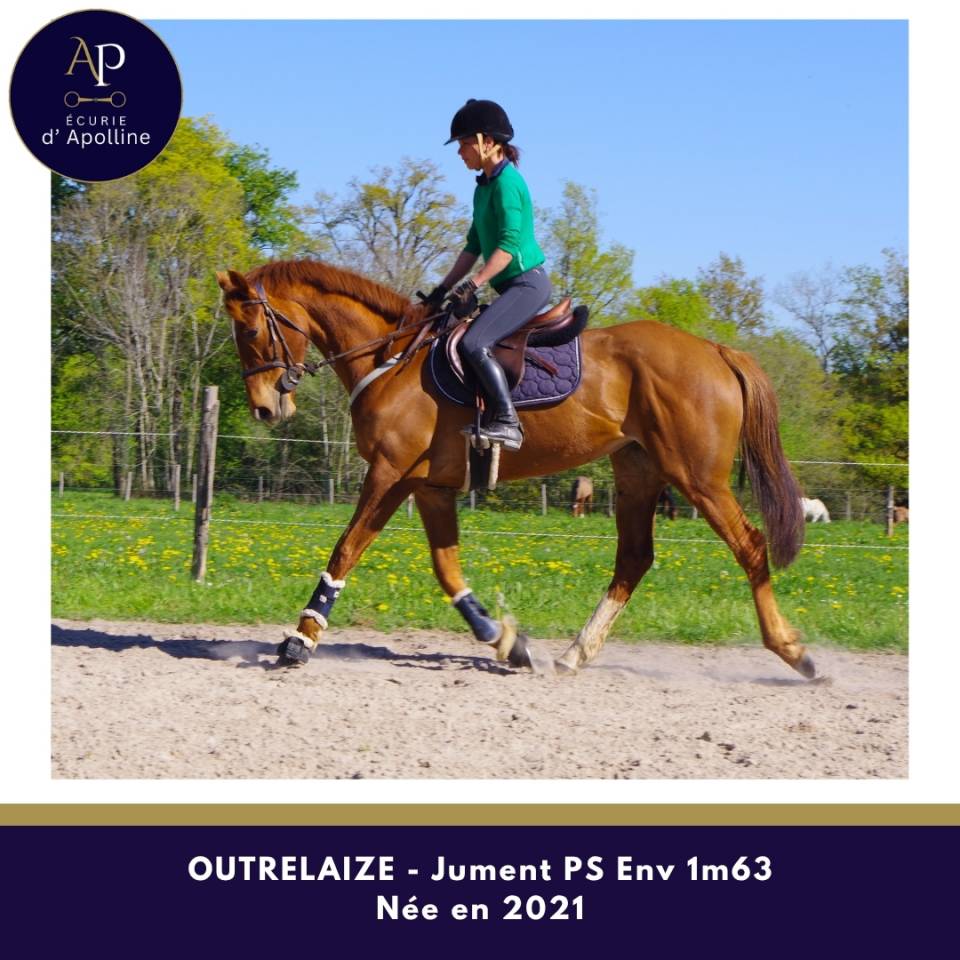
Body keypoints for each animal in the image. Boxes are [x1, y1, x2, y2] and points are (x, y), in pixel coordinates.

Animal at [216, 259, 814, 679]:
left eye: (250, 332)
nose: (265, 409)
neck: (392, 359)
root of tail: (715, 350)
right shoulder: (429, 486)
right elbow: (448, 571)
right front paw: (508, 641)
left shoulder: (388, 475)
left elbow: (345, 550)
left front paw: (300, 641)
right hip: (638, 471)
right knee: (634, 559)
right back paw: (574, 654)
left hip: (698, 478)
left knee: (749, 547)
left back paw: (792, 651)